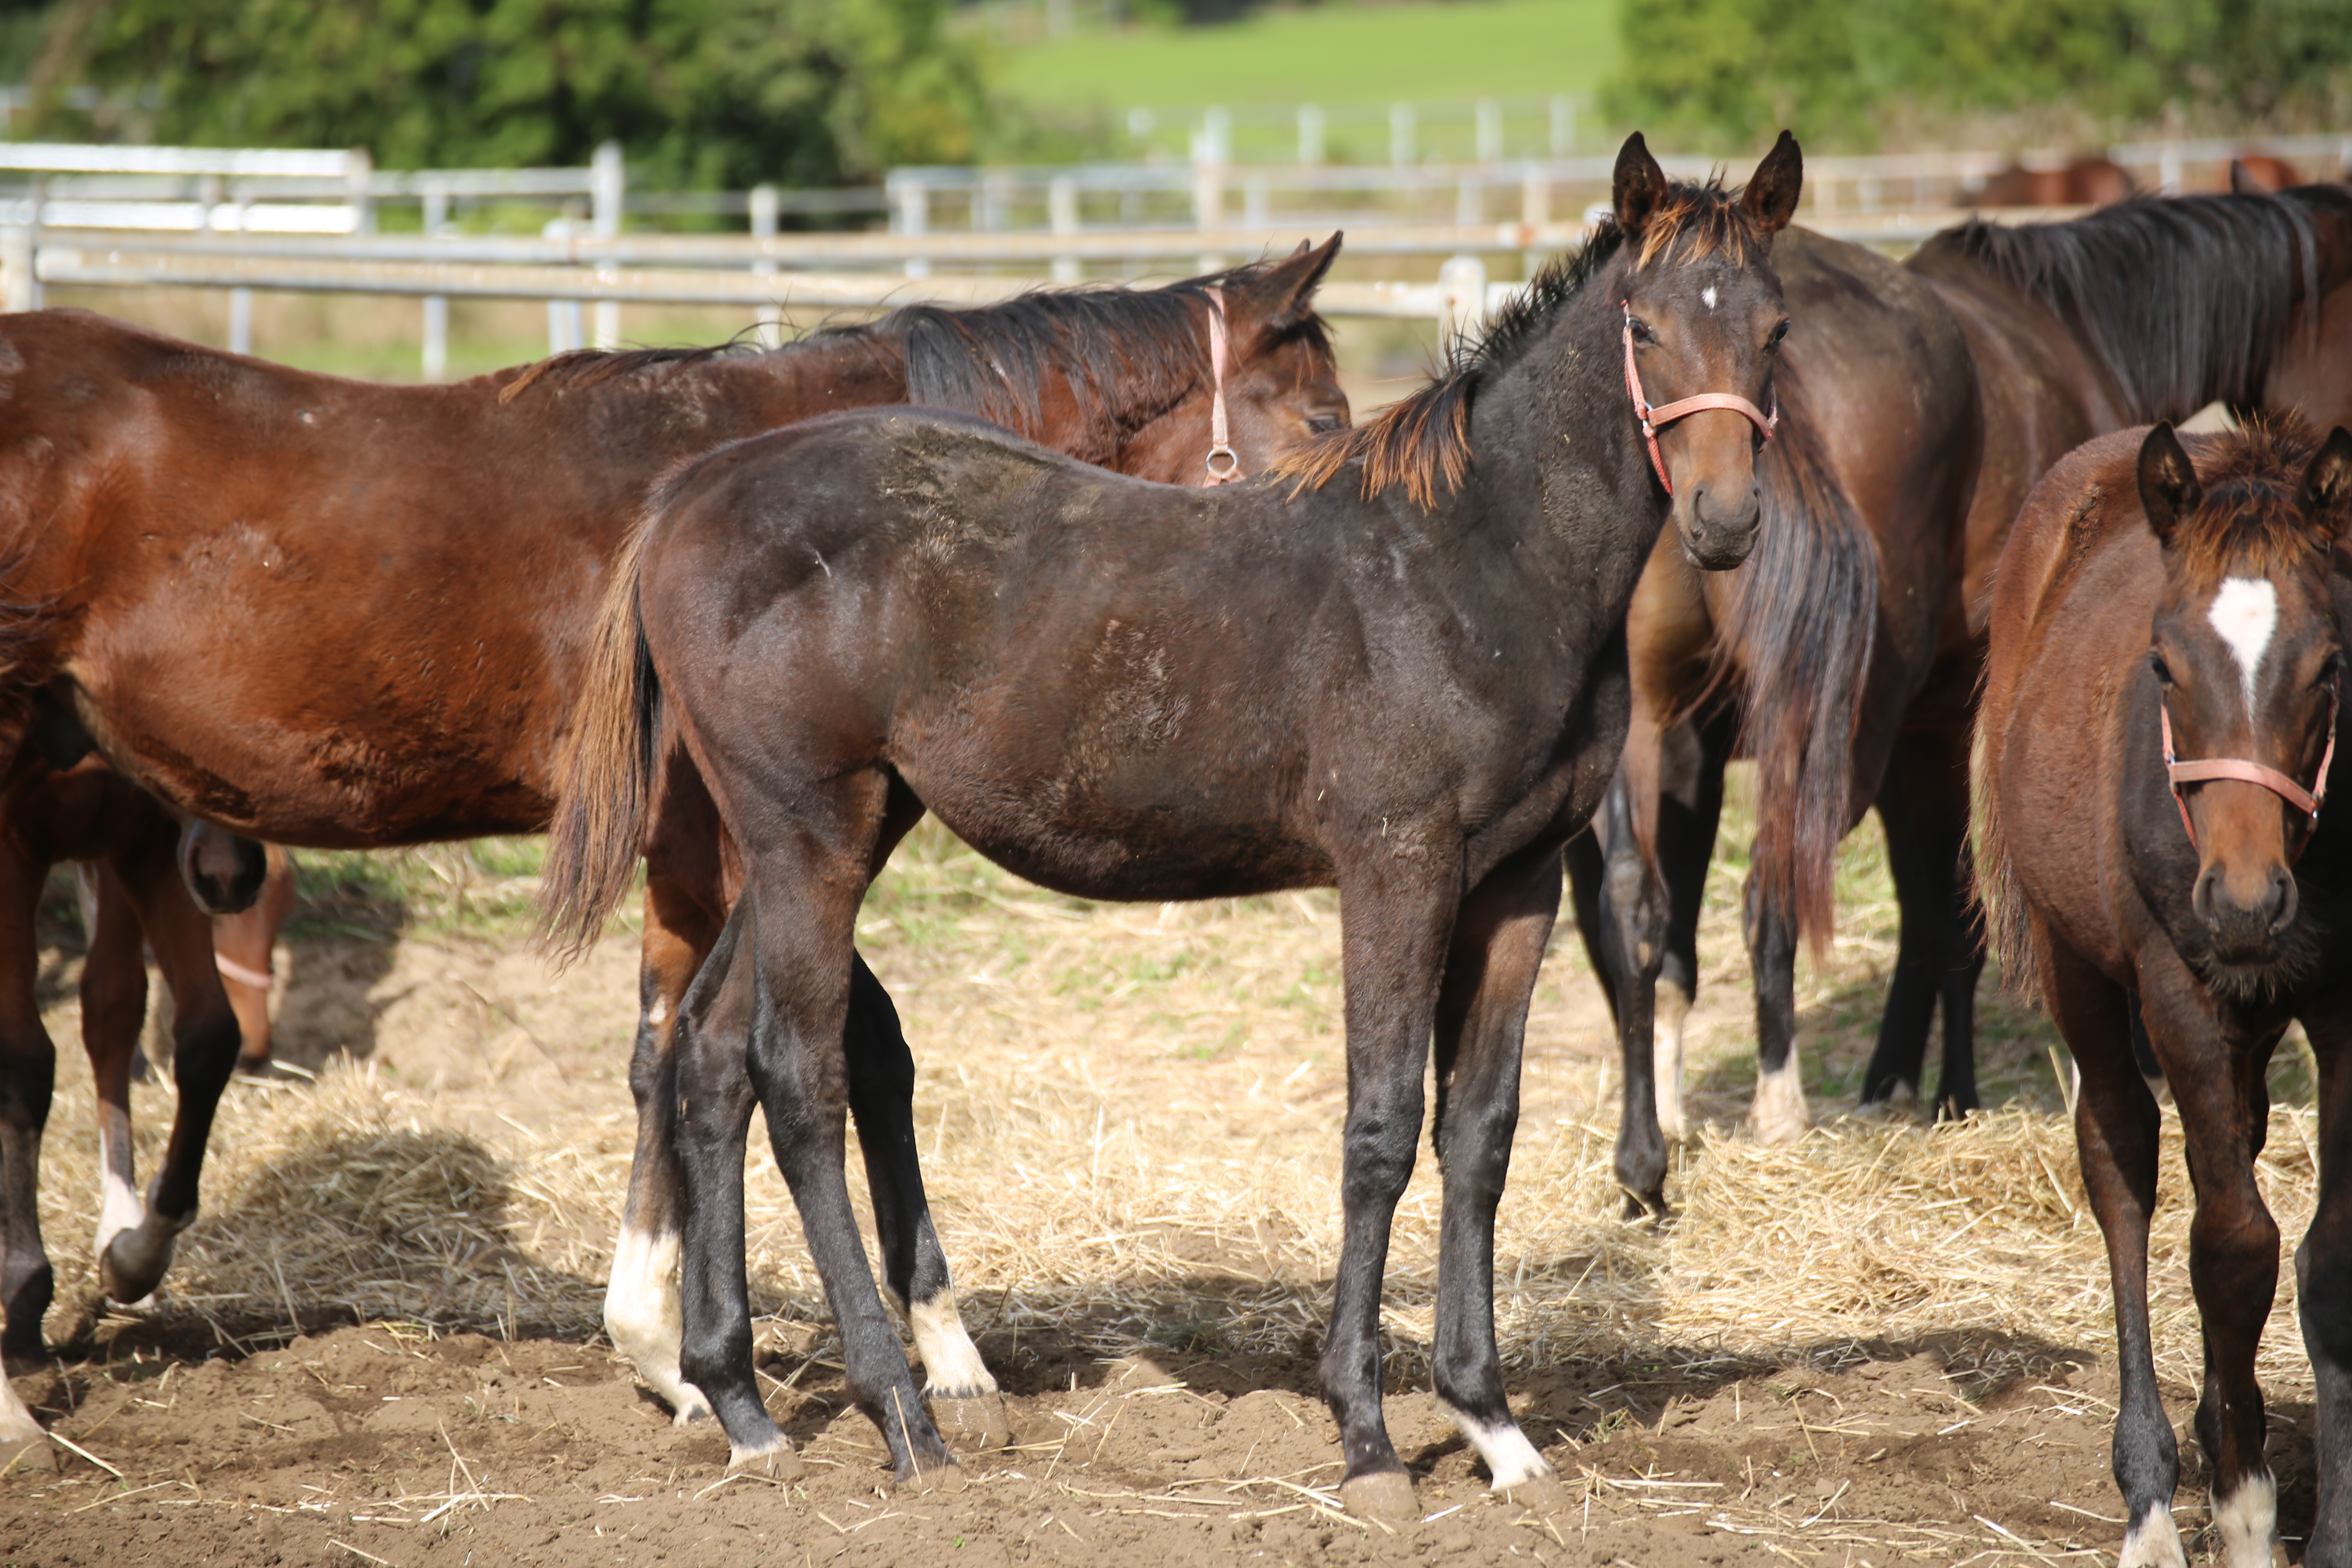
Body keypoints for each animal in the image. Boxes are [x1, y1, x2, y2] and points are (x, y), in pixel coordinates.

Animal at [0, 240, 1345, 1392]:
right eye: (1326, 420)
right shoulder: (742, 844)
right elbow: (766, 1049)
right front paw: (741, 1349)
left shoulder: (748, 850)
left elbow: (759, 1047)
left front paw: (757, 1338)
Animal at [546, 138, 1797, 1523]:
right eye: (1644, 326)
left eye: (1776, 329)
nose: (1726, 522)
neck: (1474, 561)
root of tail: (690, 492)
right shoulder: (1397, 867)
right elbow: (1379, 1130)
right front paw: (1368, 1439)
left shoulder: (1513, 881)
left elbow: (1480, 1133)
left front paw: (1494, 1422)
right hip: (808, 830)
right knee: (797, 1074)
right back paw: (904, 1415)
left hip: (821, 838)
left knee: (712, 1053)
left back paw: (743, 1405)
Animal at [1571, 184, 2352, 1213]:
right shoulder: (1945, 721)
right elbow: (1957, 900)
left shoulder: (1846, 733)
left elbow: (1915, 902)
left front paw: (1904, 1082)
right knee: (1770, 881)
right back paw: (1778, 1109)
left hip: (1670, 729)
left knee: (1643, 906)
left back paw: (1653, 1140)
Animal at [1985, 416, 2352, 1568]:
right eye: (2161, 664)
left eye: (2331, 664)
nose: (2241, 901)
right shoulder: (2177, 993)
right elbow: (2232, 1250)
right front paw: (2244, 1513)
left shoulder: (2346, 1005)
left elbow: (2325, 1255)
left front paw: (2327, 1529)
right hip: (2080, 968)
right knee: (2122, 1166)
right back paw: (2151, 1494)